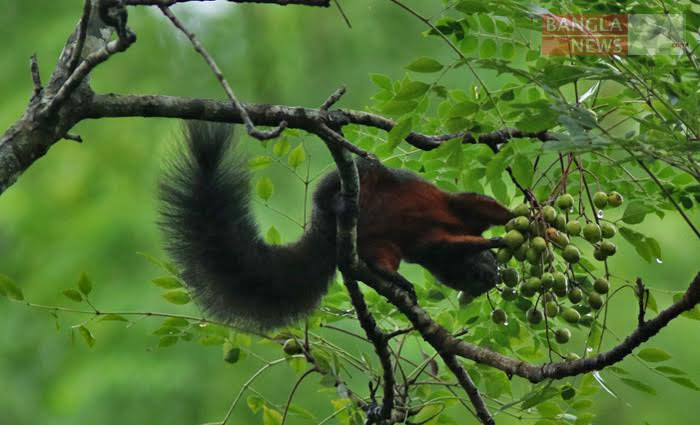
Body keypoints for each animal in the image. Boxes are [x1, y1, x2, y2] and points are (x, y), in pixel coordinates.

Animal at [159, 121, 516, 330]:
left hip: (381, 244)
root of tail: (323, 230)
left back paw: (396, 279)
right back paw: (340, 204)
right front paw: (509, 230)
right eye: (482, 272)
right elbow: (484, 208)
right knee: (335, 192)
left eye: (475, 282)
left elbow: (443, 244)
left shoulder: (433, 246)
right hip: (353, 181)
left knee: (379, 260)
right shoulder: (457, 209)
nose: (490, 278)